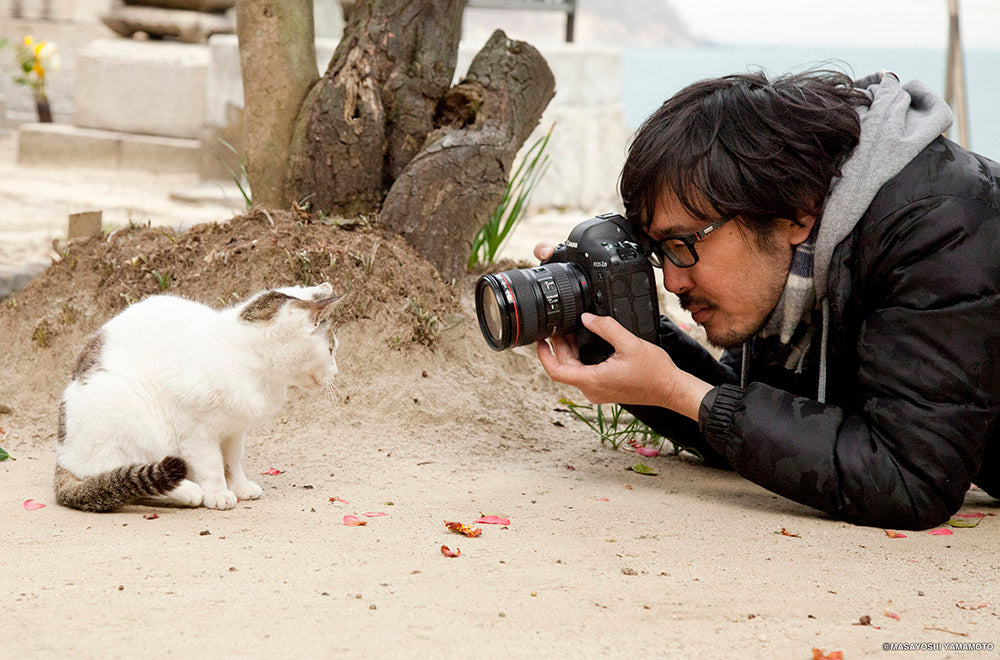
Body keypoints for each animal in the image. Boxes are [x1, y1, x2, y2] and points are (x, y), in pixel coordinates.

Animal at [54, 282, 344, 512]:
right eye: (331, 350)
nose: (337, 372)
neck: (250, 360)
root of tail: (63, 454)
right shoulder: (196, 433)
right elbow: (212, 466)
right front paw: (218, 493)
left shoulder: (234, 431)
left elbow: (232, 463)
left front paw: (240, 487)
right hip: (124, 406)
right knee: (116, 474)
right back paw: (189, 491)